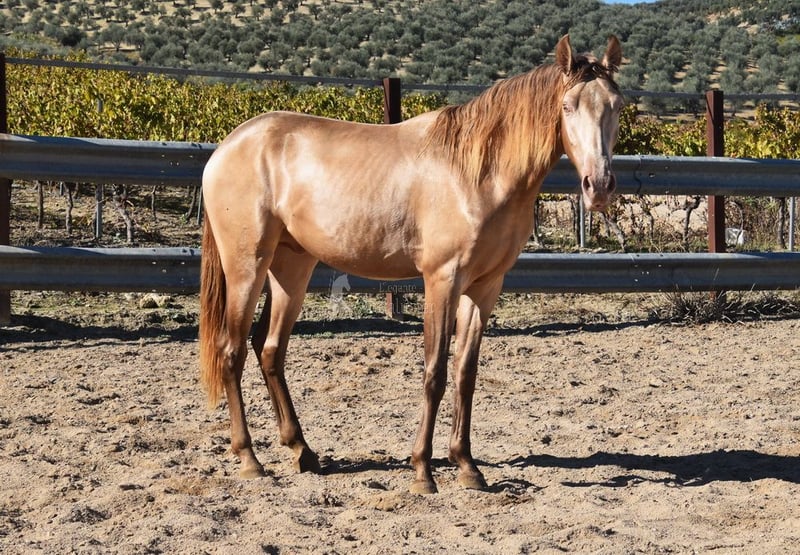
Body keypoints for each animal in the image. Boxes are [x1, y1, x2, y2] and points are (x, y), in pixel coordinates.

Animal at [199, 34, 623, 494]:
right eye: (568, 106)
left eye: (616, 105)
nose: (599, 187)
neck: (478, 173)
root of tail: (227, 147)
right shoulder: (442, 280)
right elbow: (434, 372)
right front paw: (423, 470)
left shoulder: (485, 287)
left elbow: (465, 373)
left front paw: (467, 467)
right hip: (247, 266)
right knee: (232, 350)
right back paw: (249, 459)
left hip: (292, 268)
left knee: (270, 349)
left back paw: (302, 451)